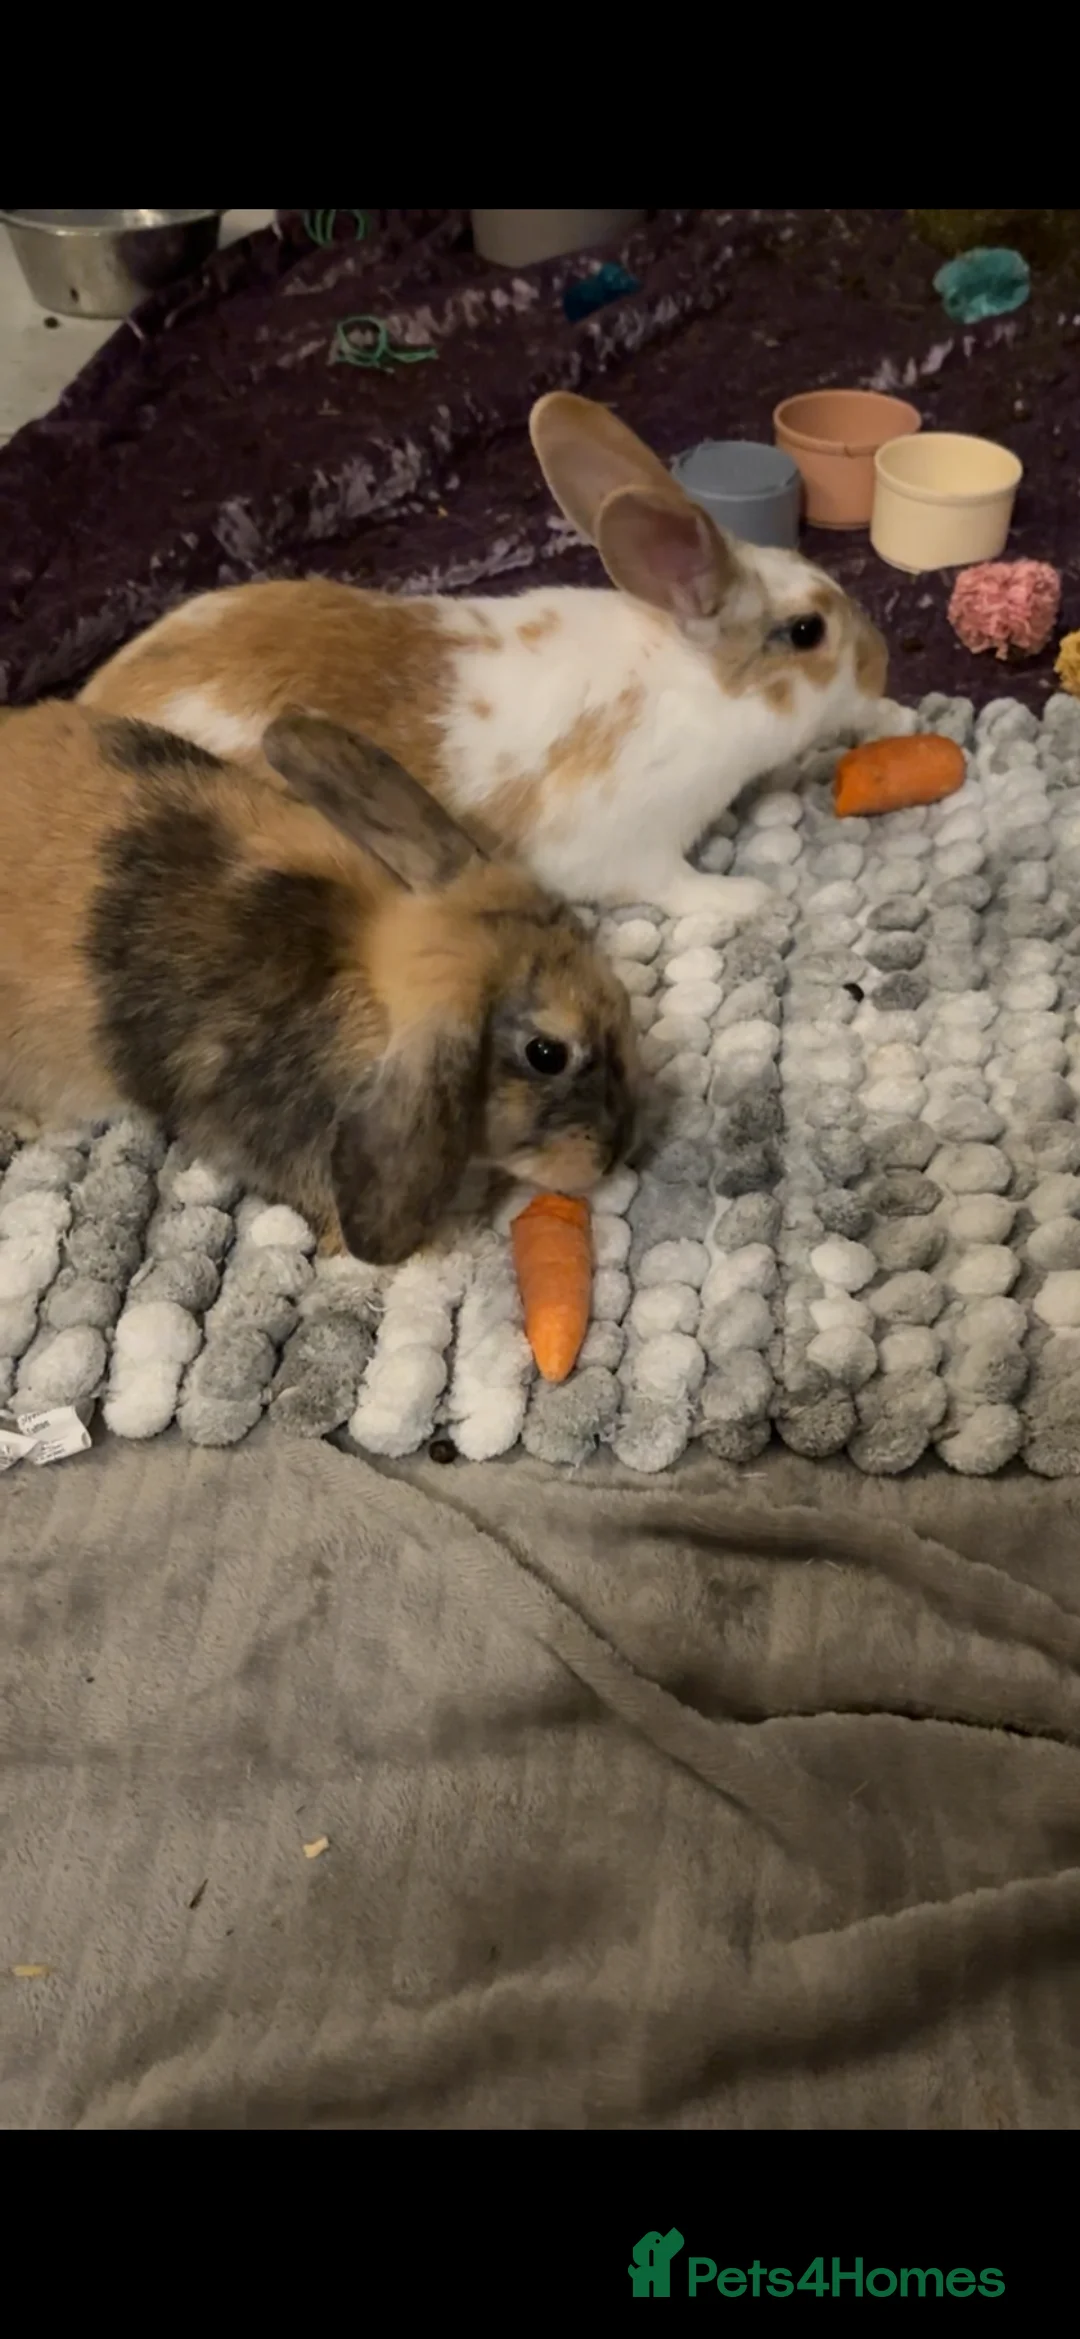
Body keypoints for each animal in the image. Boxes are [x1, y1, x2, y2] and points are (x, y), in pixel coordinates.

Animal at [79, 391, 889, 927]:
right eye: (808, 631)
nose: (882, 661)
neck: (696, 683)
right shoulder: (627, 845)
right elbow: (671, 884)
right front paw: (748, 896)